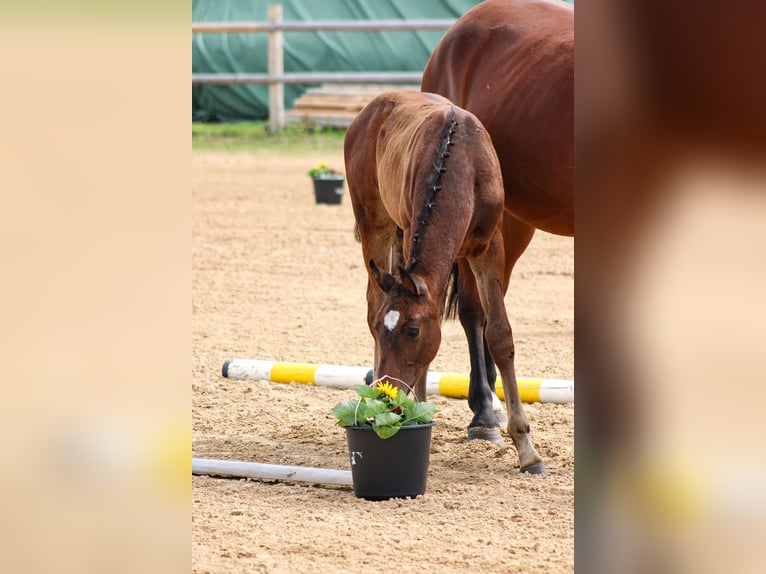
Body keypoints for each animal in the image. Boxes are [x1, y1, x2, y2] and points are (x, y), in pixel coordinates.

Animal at [344, 91, 548, 476]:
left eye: (412, 331)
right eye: (382, 329)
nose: (387, 396)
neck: (462, 166)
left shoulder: (489, 248)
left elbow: (499, 335)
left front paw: (528, 451)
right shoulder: (411, 233)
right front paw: (417, 417)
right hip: (375, 225)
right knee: (371, 300)